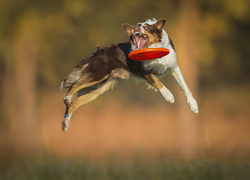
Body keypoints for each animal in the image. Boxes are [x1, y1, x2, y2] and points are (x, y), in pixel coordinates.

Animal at [59, 18, 198, 132]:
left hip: (98, 89)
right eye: (137, 26)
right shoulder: (145, 72)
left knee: (76, 102)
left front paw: (194, 105)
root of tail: (99, 51)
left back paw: (65, 123)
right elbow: (158, 82)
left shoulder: (173, 66)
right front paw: (169, 96)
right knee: (73, 87)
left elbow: (185, 86)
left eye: (146, 27)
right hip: (98, 75)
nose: (136, 27)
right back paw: (67, 99)